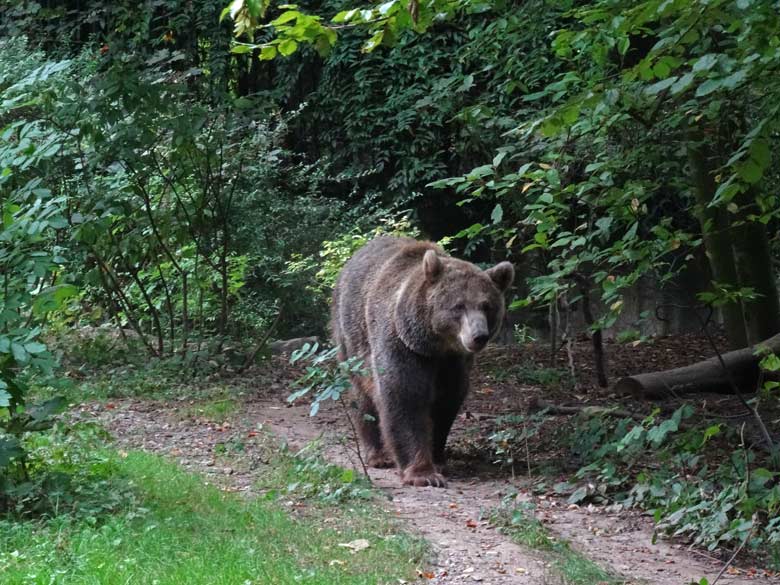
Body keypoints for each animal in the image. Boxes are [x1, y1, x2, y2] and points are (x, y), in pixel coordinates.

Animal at [332, 235, 516, 486]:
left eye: (487, 305)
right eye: (458, 305)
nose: (479, 336)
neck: (434, 345)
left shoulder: (453, 362)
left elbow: (447, 401)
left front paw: (438, 459)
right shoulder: (402, 346)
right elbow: (404, 396)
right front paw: (423, 473)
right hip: (351, 336)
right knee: (362, 396)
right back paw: (377, 455)